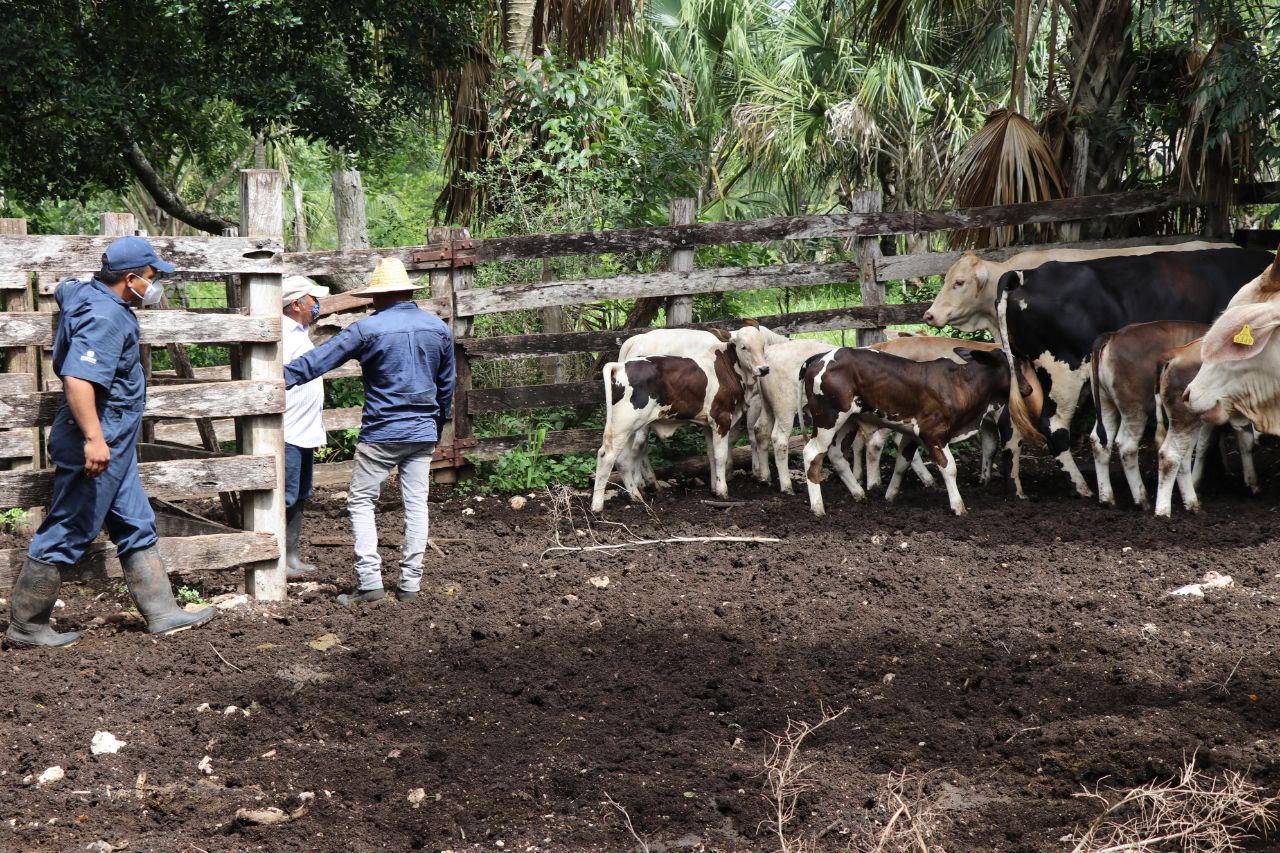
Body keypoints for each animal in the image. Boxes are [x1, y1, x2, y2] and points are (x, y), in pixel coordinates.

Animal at [591, 340, 747, 512]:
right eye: (743, 346)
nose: (761, 369)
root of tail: (620, 366)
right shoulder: (722, 419)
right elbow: (721, 456)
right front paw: (722, 491)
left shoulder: (708, 424)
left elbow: (711, 453)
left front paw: (714, 488)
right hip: (623, 426)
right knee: (607, 456)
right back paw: (597, 505)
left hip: (631, 429)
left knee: (623, 459)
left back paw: (636, 496)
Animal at [798, 343, 1018, 514]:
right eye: (1014, 366)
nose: (1025, 389)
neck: (960, 384)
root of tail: (818, 358)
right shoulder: (933, 434)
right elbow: (949, 468)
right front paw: (958, 506)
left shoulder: (912, 435)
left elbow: (902, 464)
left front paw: (890, 496)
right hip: (828, 420)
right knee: (812, 454)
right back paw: (818, 508)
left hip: (848, 421)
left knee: (836, 454)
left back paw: (858, 493)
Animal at [1090, 318, 1208, 504]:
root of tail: (1114, 334)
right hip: (1135, 408)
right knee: (1127, 446)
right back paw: (1141, 499)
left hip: (1105, 402)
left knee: (1099, 441)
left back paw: (1107, 498)